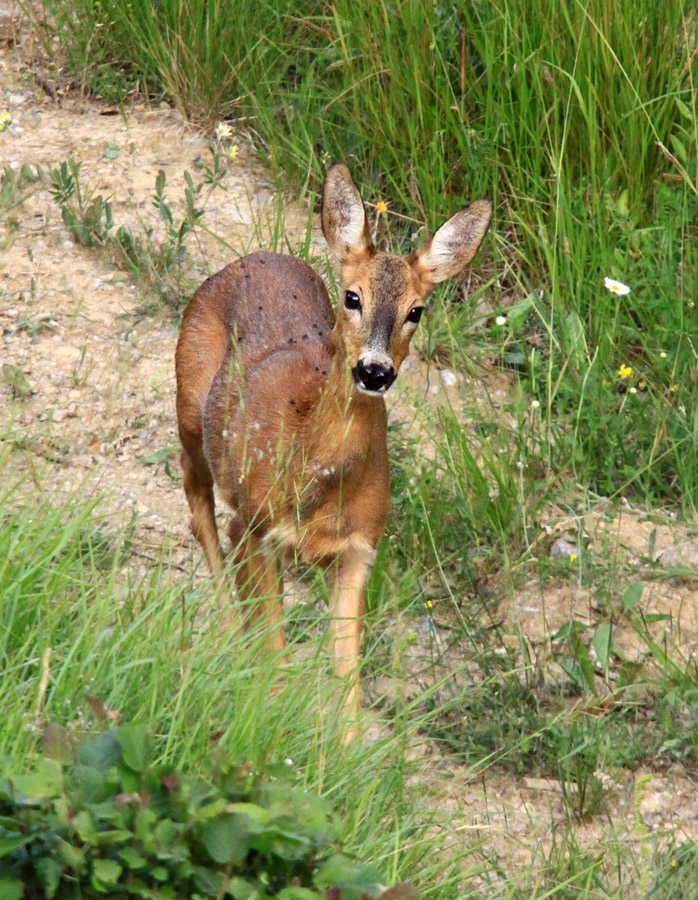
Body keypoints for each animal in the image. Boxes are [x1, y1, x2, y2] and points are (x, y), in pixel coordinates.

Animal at [174, 163, 490, 732]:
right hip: (189, 412)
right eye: (353, 296)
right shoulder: (254, 527)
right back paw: (225, 634)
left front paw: (341, 749)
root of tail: (252, 257)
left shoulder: (360, 549)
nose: (375, 371)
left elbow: (347, 677)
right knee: (195, 500)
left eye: (417, 310)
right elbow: (273, 647)